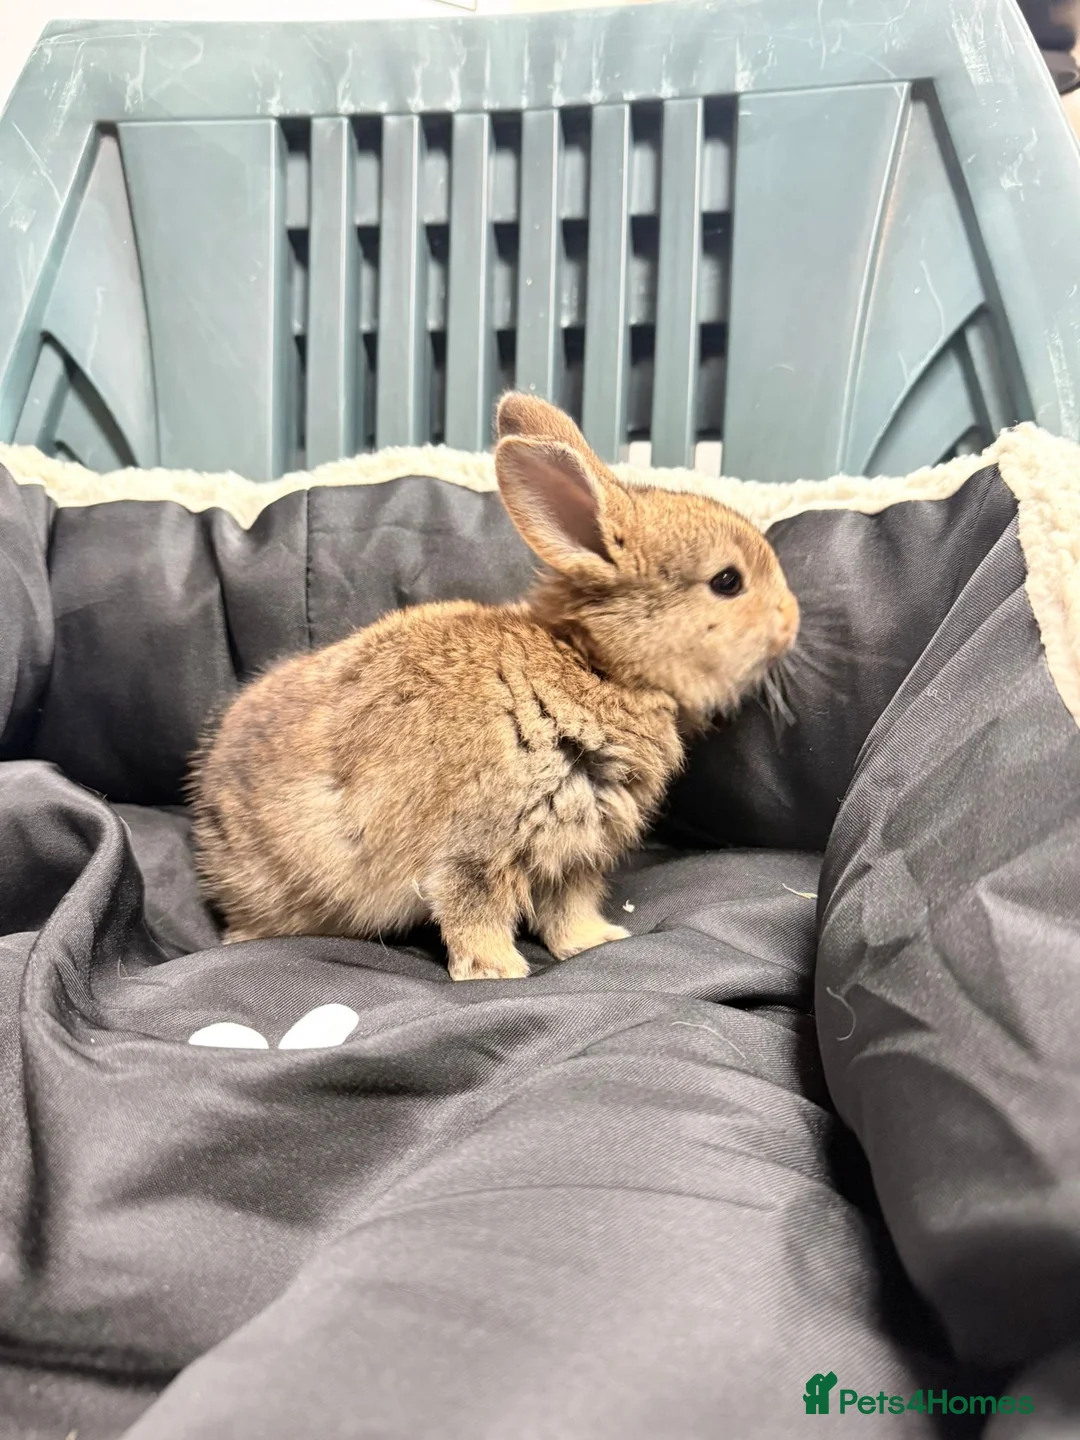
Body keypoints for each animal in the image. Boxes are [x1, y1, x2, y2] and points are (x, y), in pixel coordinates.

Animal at [190, 394, 800, 981]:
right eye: (728, 581)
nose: (793, 618)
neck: (597, 667)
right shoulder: (475, 847)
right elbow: (474, 910)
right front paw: (496, 972)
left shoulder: (573, 855)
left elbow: (567, 908)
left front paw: (595, 942)